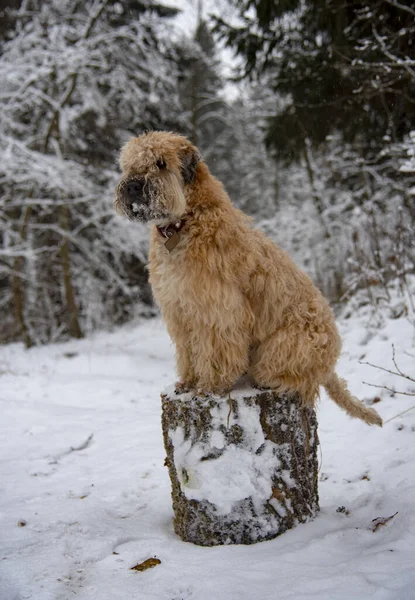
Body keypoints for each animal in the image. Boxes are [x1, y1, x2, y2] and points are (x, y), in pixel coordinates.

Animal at [114, 130, 384, 426]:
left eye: (161, 163)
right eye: (129, 165)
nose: (132, 187)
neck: (184, 222)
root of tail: (330, 362)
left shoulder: (216, 311)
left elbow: (212, 351)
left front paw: (209, 386)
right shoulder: (179, 310)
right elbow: (188, 351)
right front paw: (187, 382)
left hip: (285, 347)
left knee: (299, 379)